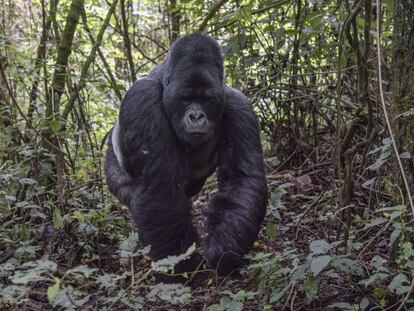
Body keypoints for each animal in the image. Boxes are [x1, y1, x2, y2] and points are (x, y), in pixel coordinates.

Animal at [105, 33, 266, 280]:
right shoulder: (142, 102)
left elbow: (241, 179)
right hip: (112, 169)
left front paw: (223, 251)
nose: (196, 116)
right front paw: (177, 268)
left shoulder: (240, 107)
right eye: (185, 98)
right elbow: (160, 188)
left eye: (208, 100)